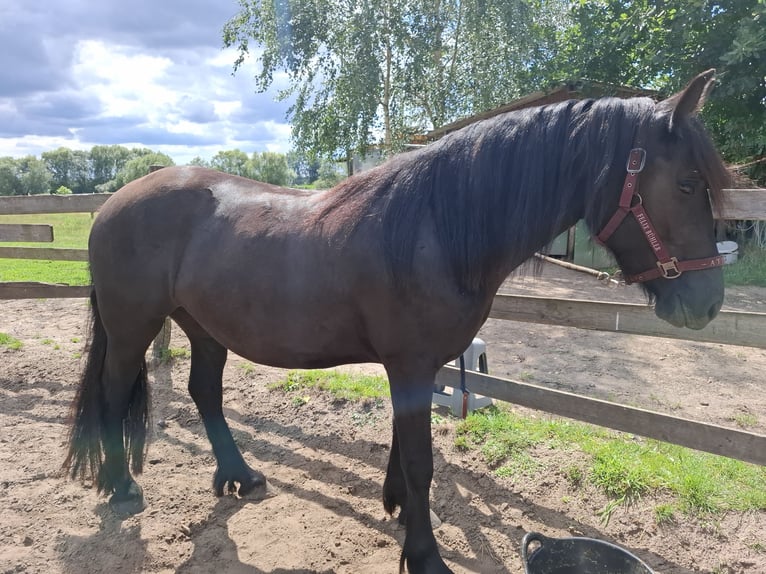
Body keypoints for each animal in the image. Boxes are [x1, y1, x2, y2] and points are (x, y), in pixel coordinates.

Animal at [64, 70, 732, 572]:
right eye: (686, 183)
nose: (707, 304)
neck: (433, 230)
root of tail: (114, 202)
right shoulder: (409, 365)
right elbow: (420, 462)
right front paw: (426, 554)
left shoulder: (417, 366)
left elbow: (404, 450)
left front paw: (400, 510)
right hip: (132, 327)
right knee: (114, 392)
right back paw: (122, 488)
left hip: (203, 327)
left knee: (204, 391)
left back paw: (238, 476)